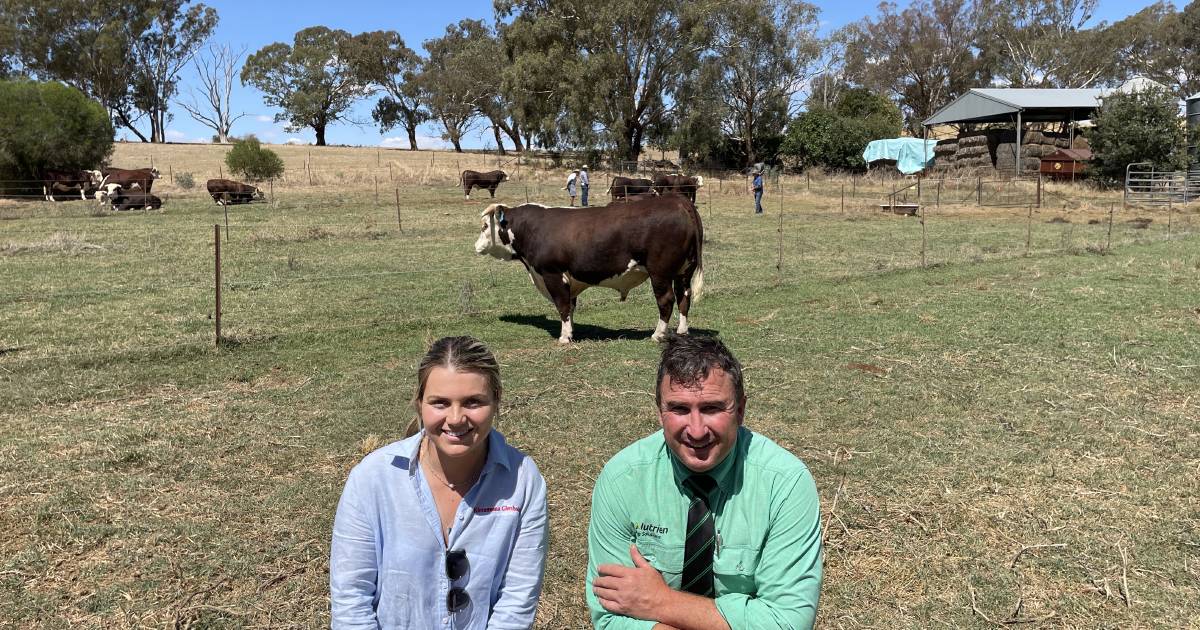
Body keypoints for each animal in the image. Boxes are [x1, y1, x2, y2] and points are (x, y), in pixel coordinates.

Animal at [472, 196, 700, 343]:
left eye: (485, 226)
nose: (475, 246)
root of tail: (679, 201)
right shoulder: (568, 279)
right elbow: (571, 306)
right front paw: (572, 331)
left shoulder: (552, 274)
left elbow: (562, 305)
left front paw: (564, 337)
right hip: (684, 271)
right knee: (684, 297)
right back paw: (682, 331)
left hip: (659, 272)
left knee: (666, 300)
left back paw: (657, 335)